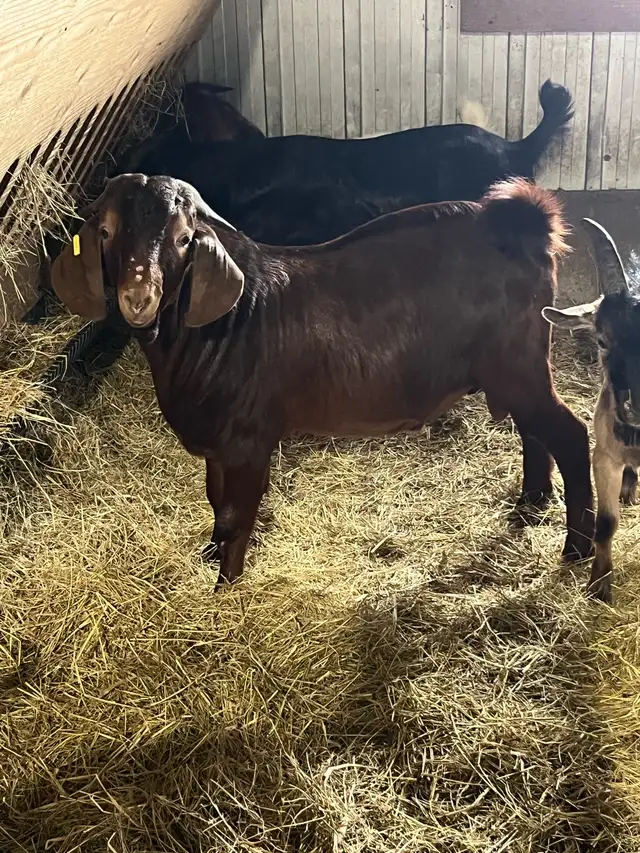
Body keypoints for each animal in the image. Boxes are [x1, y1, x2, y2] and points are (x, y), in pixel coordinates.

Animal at [50, 174, 594, 587]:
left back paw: (577, 547)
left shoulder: (249, 441)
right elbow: (215, 502)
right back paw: (532, 504)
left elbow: (235, 516)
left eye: (185, 239)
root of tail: (526, 226)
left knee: (569, 434)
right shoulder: (219, 445)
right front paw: (209, 557)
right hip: (515, 370)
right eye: (105, 232)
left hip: (519, 362)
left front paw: (227, 587)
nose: (137, 298)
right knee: (534, 431)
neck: (227, 324)